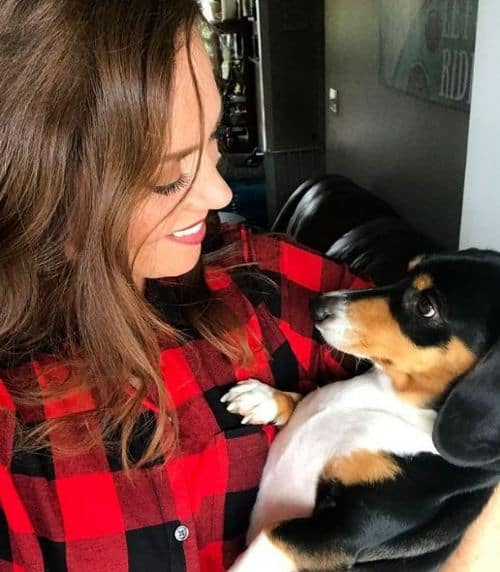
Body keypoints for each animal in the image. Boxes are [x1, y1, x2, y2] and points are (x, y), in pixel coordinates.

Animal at [225, 250, 500, 572]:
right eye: (405, 271)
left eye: (425, 307)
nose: (317, 306)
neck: (388, 398)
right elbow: (307, 395)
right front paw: (264, 397)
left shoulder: (345, 529)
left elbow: (271, 535)